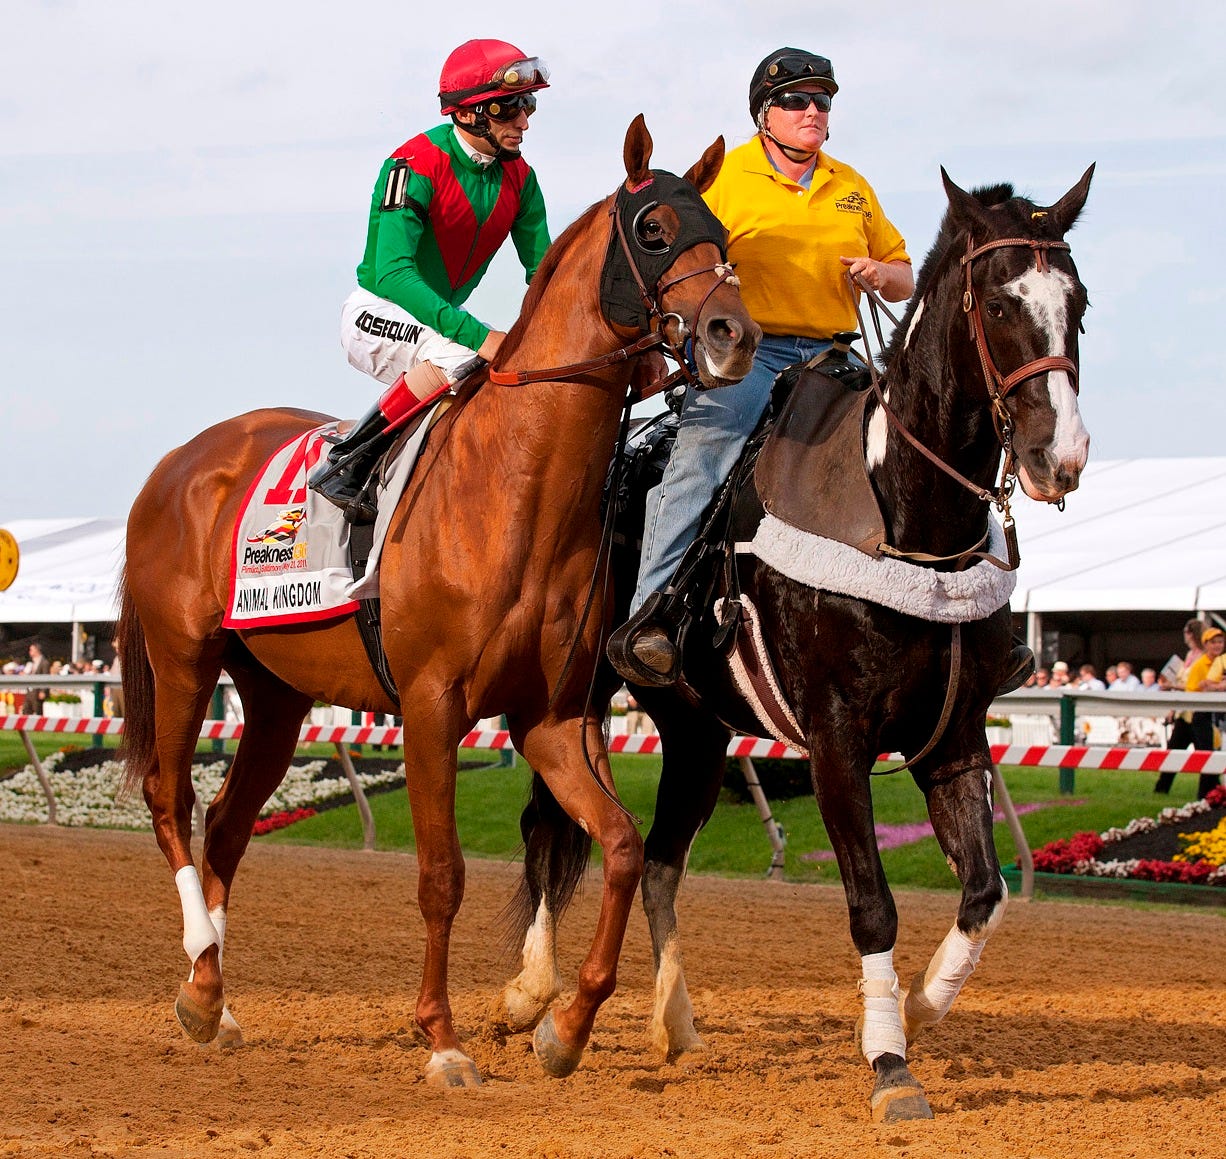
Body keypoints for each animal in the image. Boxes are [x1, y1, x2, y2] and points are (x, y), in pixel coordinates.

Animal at [119, 115, 760, 1084]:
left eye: (721, 235)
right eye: (654, 231)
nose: (734, 335)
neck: (516, 491)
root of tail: (175, 462)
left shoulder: (551, 716)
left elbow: (617, 845)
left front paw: (565, 1027)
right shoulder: (430, 706)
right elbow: (441, 875)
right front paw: (444, 1040)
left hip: (275, 692)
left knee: (229, 823)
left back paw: (213, 996)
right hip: (184, 659)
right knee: (172, 800)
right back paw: (197, 974)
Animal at [502, 166, 1098, 1118]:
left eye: (1077, 302)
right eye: (1003, 303)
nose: (1060, 456)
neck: (905, 514)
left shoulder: (954, 740)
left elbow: (984, 890)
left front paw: (921, 1006)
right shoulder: (836, 740)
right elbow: (872, 903)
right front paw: (890, 1061)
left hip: (698, 731)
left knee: (661, 861)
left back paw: (674, 1022)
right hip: (570, 698)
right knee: (548, 829)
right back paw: (534, 997)